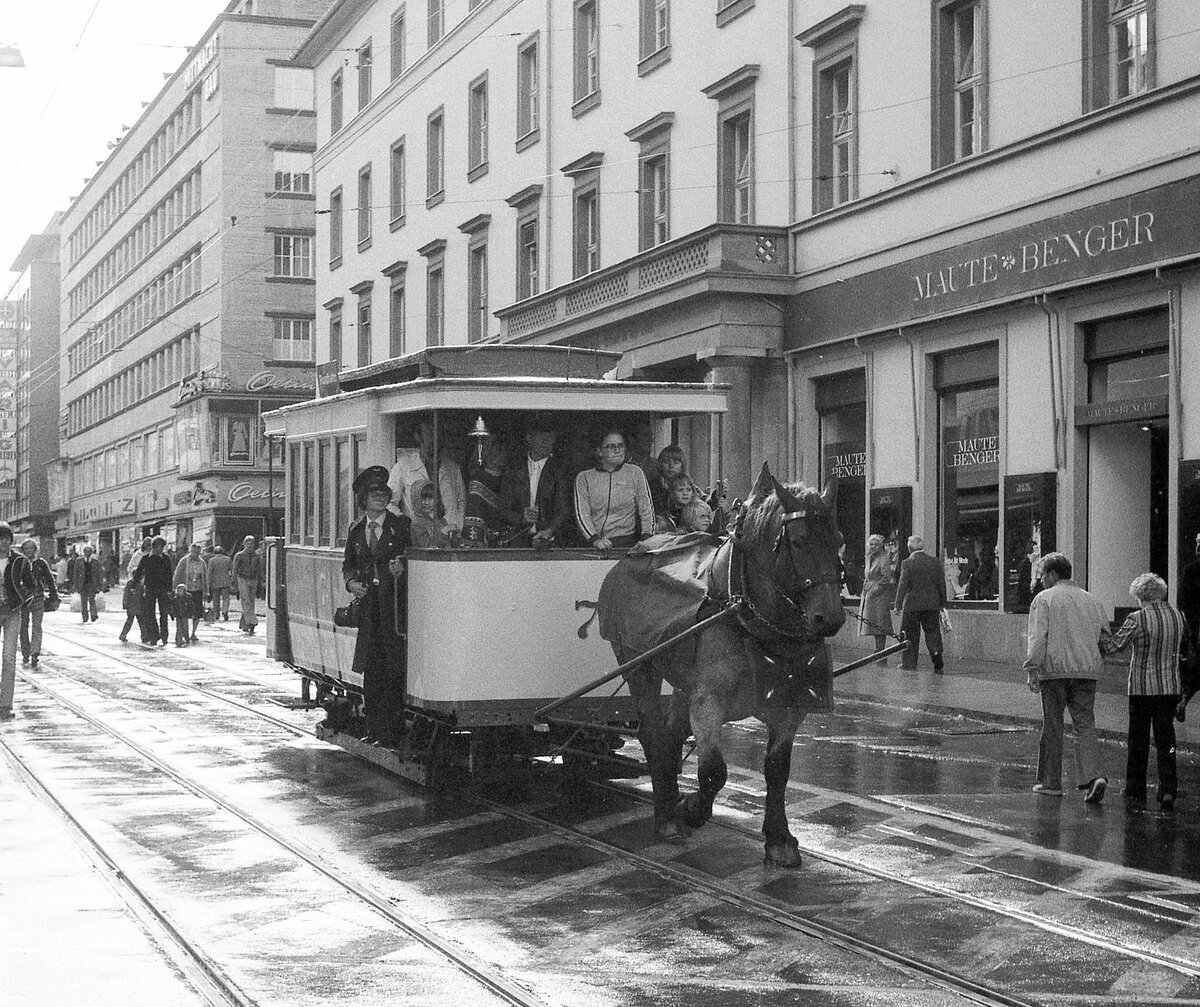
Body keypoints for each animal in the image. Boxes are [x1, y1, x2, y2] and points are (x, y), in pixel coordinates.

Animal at [597, 465, 844, 864]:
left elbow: (777, 769)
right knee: (652, 733)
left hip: (683, 680)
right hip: (637, 664)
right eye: (798, 541)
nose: (831, 618)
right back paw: (667, 815)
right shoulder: (708, 701)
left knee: (669, 734)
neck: (746, 613)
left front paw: (779, 837)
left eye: (837, 538)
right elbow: (714, 771)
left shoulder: (786, 706)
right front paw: (691, 809)